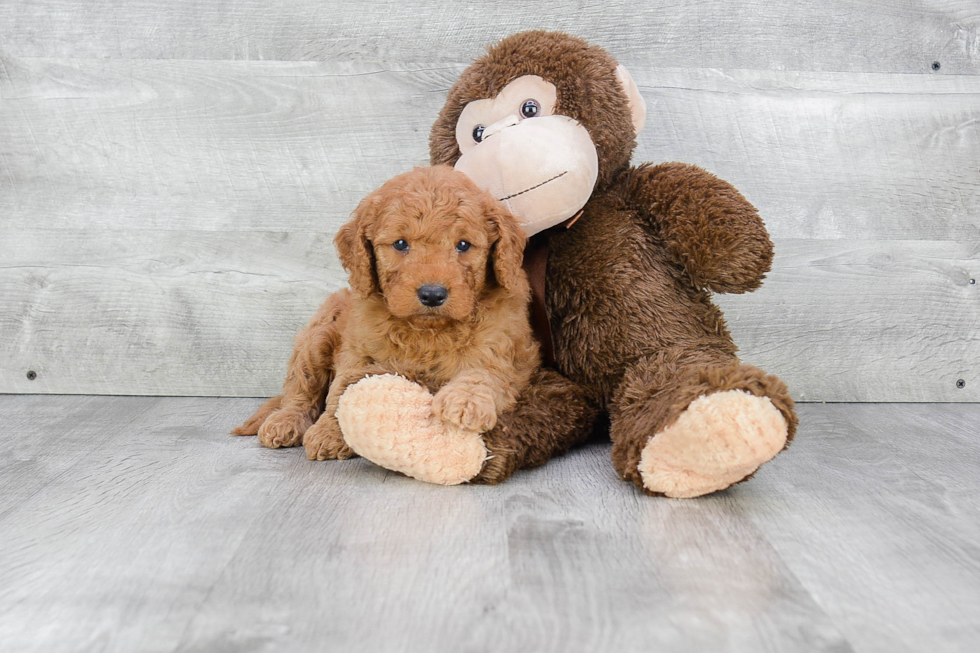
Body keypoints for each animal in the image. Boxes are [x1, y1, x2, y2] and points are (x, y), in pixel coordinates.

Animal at [234, 167, 540, 464]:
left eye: (463, 245)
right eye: (401, 244)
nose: (432, 294)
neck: (428, 332)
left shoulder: (502, 350)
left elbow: (483, 374)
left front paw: (465, 403)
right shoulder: (358, 352)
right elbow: (342, 389)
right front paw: (329, 431)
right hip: (317, 334)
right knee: (300, 388)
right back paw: (285, 422)